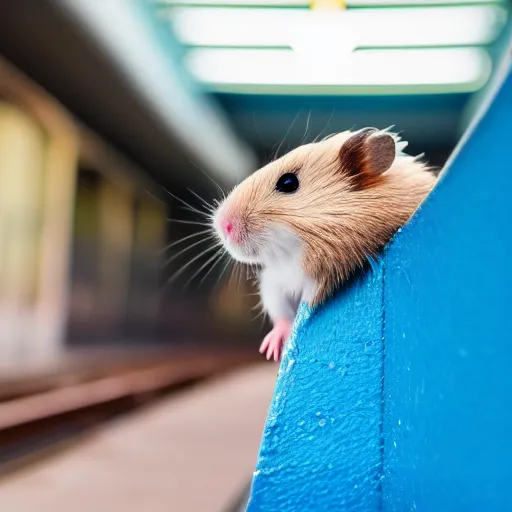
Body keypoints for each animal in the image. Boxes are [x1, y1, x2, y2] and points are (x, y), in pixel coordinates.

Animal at [212, 126, 436, 362]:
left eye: (288, 183)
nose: (221, 226)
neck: (293, 254)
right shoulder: (276, 279)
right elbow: (277, 306)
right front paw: (271, 350)